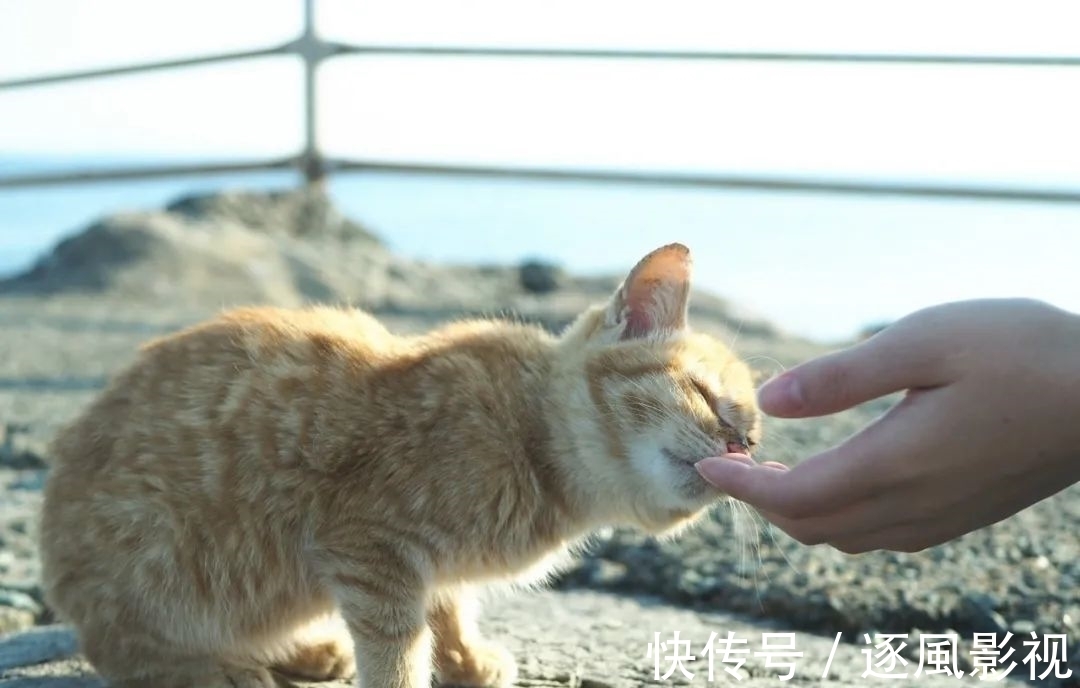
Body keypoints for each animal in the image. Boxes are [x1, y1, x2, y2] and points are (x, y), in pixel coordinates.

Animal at [39, 244, 760, 682]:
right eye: (705, 398)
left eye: (751, 439)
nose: (736, 449)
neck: (533, 441)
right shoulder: (369, 545)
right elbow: (397, 641)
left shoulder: (420, 563)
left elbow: (448, 605)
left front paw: (464, 658)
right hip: (155, 557)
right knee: (124, 652)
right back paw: (218, 670)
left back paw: (310, 648)